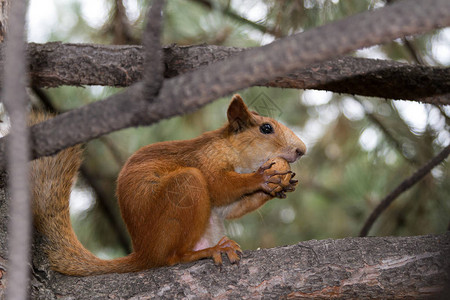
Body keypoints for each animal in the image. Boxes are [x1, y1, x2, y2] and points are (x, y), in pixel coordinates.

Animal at [30, 95, 306, 276]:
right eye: (266, 128)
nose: (301, 150)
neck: (233, 151)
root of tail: (145, 254)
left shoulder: (223, 206)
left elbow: (231, 208)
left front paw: (279, 187)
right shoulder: (205, 159)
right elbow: (218, 187)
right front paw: (261, 179)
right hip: (184, 189)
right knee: (173, 257)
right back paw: (209, 251)